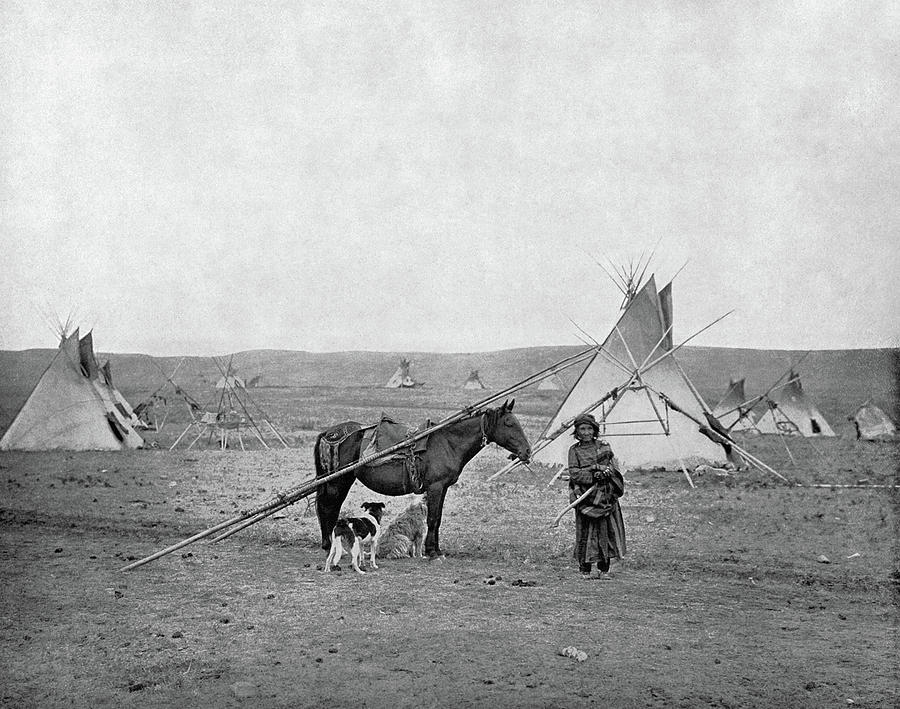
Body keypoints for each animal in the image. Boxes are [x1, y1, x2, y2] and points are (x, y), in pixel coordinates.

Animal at [312, 398, 532, 560]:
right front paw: (432, 552)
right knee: (328, 507)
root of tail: (328, 433)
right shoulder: (435, 487)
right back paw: (329, 544)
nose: (527, 451)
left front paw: (437, 549)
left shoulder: (442, 488)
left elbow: (438, 518)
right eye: (509, 423)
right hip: (338, 481)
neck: (448, 442)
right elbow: (432, 518)